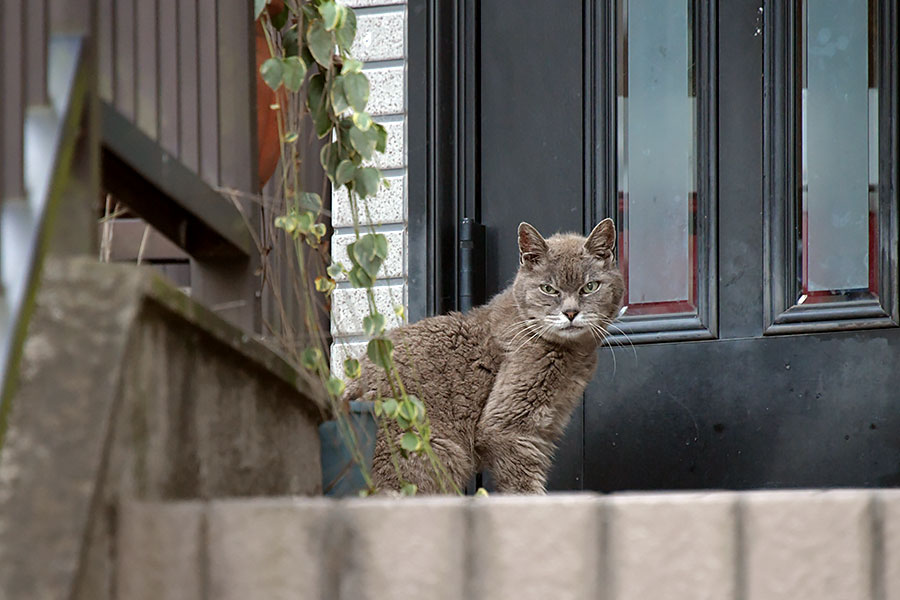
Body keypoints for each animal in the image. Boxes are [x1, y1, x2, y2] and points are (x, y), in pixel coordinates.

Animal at [344, 219, 624, 492]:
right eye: (548, 289)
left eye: (590, 287)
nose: (571, 312)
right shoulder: (507, 426)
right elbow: (524, 486)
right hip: (435, 452)